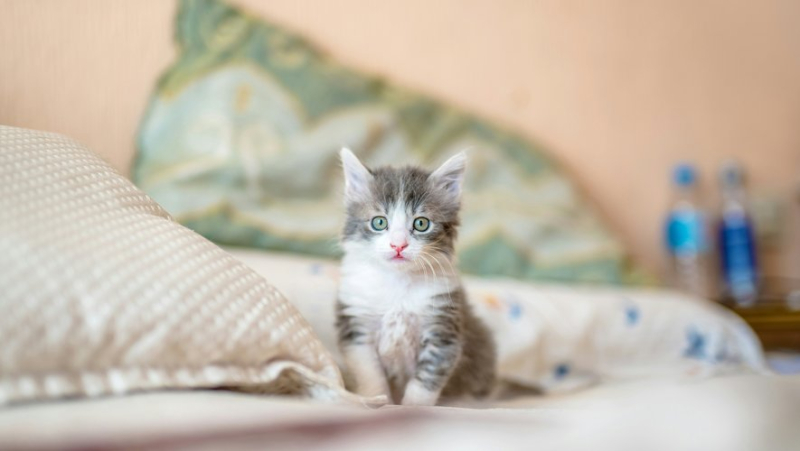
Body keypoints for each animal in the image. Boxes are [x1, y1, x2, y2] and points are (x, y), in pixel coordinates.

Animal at [332, 148, 494, 406]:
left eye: (421, 223)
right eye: (379, 222)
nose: (398, 245)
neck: (397, 283)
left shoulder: (443, 330)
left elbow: (425, 381)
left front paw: (411, 408)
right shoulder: (356, 328)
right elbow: (370, 375)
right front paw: (378, 401)